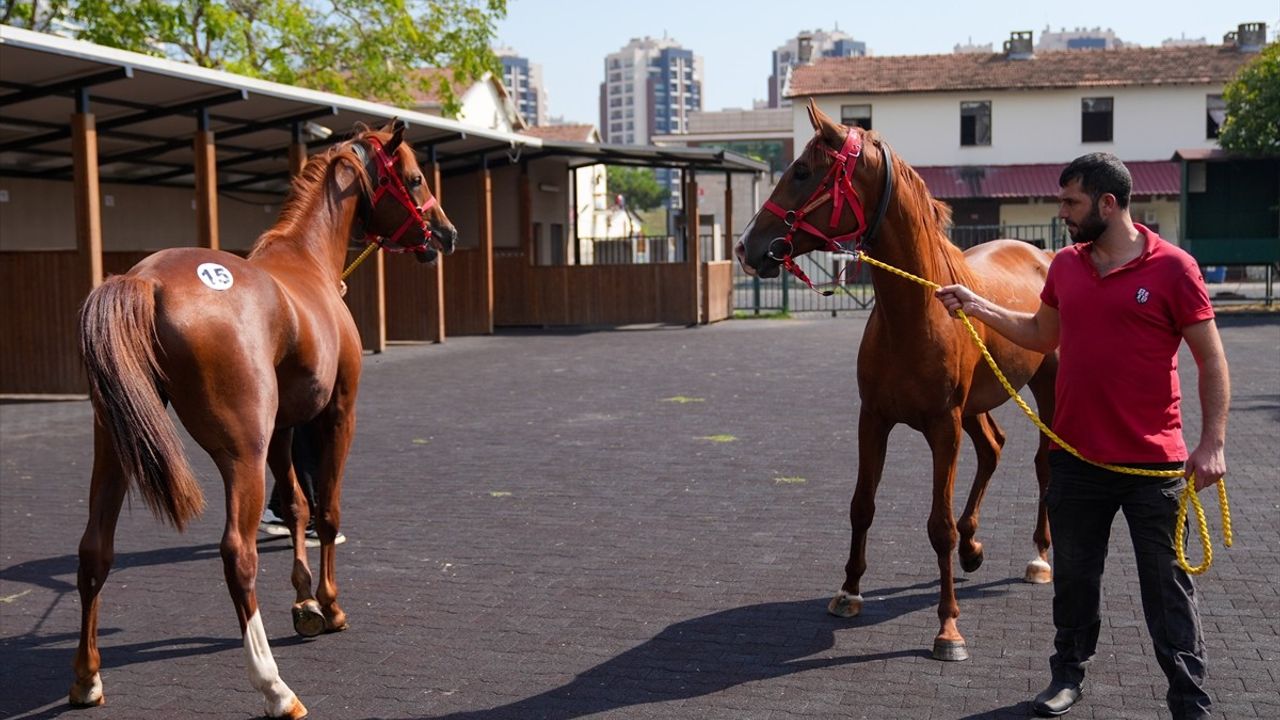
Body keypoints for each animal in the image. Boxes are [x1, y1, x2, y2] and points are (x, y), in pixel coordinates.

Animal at [737, 102, 1054, 661]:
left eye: (803, 172)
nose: (746, 247)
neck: (918, 309)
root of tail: (1044, 254)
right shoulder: (875, 419)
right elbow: (862, 506)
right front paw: (848, 592)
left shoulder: (943, 427)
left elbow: (938, 526)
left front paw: (948, 627)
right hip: (976, 406)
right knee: (993, 448)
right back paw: (974, 547)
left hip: (1044, 386)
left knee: (1044, 462)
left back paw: (1039, 556)